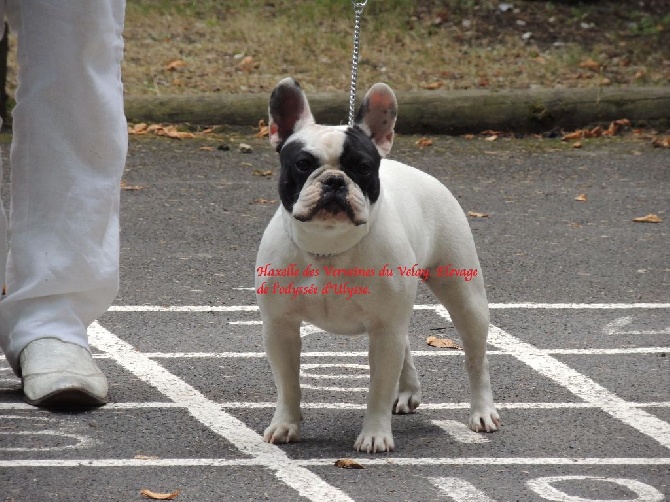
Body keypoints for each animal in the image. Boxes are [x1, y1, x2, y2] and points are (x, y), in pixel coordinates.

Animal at [256, 78, 498, 454]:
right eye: (303, 164)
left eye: (363, 167)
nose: (335, 180)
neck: (329, 245)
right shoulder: (280, 327)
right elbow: (288, 384)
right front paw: (285, 424)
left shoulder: (384, 332)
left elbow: (377, 390)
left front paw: (374, 435)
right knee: (407, 343)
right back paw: (409, 391)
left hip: (464, 295)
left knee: (476, 357)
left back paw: (482, 412)